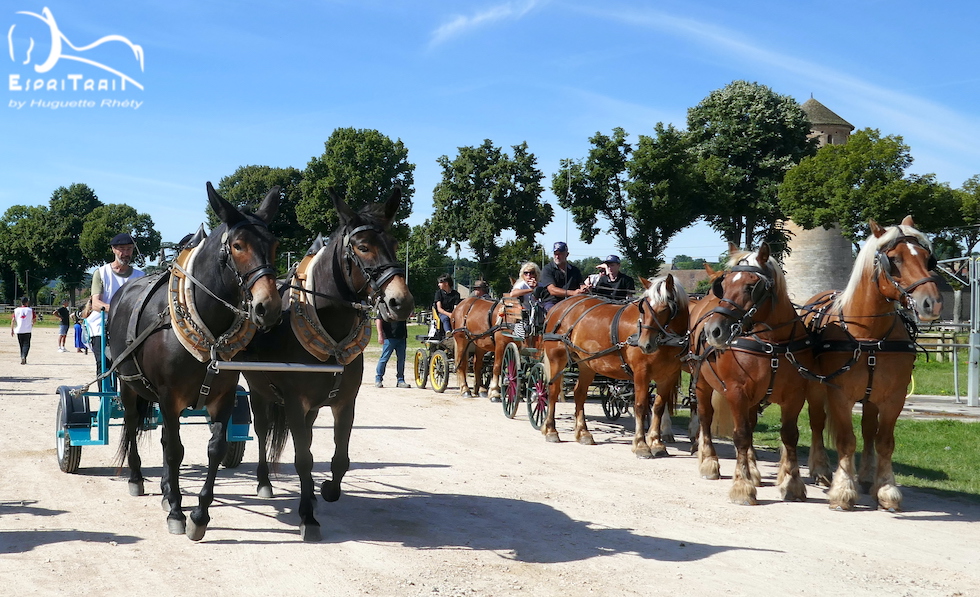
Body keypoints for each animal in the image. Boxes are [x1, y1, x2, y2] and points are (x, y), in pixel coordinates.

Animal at [110, 182, 282, 540]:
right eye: (237, 245)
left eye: (274, 245)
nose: (268, 306)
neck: (210, 332)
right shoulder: (168, 397)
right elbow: (175, 450)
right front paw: (177, 510)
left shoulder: (223, 397)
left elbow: (214, 448)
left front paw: (199, 515)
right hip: (128, 384)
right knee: (132, 425)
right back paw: (137, 478)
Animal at [239, 187, 414, 541]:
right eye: (363, 246)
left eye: (394, 244)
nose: (400, 302)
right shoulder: (294, 401)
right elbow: (303, 459)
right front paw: (308, 517)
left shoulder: (345, 402)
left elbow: (340, 459)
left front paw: (326, 490)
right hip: (258, 389)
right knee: (263, 430)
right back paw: (264, 481)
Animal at [538, 275, 689, 458]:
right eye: (644, 309)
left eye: (665, 308)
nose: (645, 344)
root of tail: (558, 307)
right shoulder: (641, 373)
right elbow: (640, 406)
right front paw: (641, 445)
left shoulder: (668, 377)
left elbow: (658, 407)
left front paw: (656, 443)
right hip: (557, 359)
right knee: (553, 391)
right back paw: (551, 430)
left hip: (586, 364)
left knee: (579, 393)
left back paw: (583, 433)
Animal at [688, 244, 815, 505]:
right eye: (725, 285)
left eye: (751, 286)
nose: (713, 331)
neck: (772, 344)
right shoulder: (737, 392)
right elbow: (741, 435)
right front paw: (742, 486)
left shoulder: (795, 396)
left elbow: (789, 435)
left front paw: (793, 484)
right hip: (702, 383)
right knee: (706, 417)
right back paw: (709, 462)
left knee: (751, 423)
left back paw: (754, 469)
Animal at [801, 217, 942, 511]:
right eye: (894, 259)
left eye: (927, 258)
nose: (931, 303)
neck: (869, 335)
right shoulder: (839, 395)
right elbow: (846, 441)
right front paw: (843, 490)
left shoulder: (894, 397)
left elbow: (884, 441)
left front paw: (886, 489)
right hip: (816, 389)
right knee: (817, 423)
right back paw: (821, 470)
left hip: (870, 397)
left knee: (867, 430)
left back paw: (866, 477)